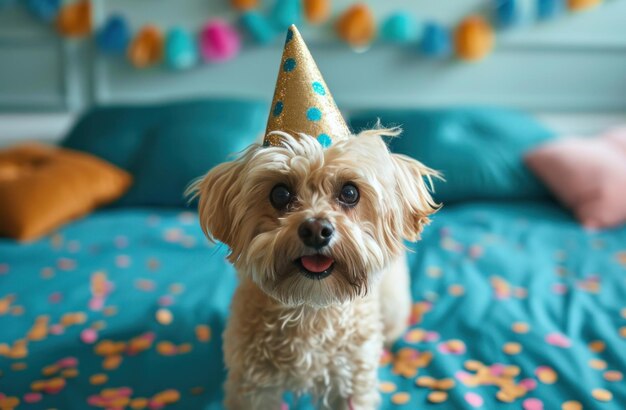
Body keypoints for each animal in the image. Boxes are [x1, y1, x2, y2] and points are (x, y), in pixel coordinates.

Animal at [188, 126, 436, 408]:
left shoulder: (350, 382)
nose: (316, 230)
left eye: (350, 193)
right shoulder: (252, 387)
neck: (309, 309)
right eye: (280, 194)